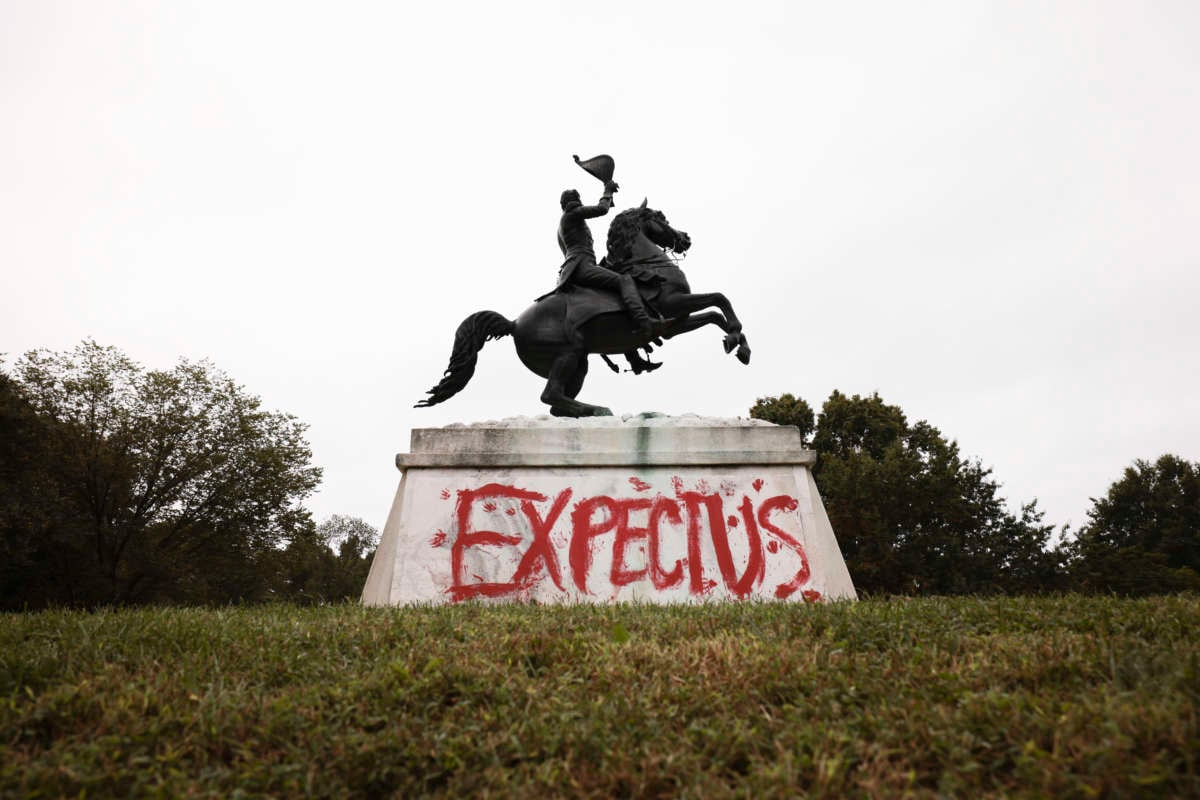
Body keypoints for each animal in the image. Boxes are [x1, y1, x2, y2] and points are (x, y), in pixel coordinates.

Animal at [417, 201, 744, 419]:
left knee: (556, 403)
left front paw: (737, 344)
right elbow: (720, 298)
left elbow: (715, 314)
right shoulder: (672, 307)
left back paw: (587, 411)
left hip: (580, 363)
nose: (685, 238)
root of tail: (514, 323)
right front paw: (737, 338)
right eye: (661, 218)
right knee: (550, 395)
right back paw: (597, 409)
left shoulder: (676, 323)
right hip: (568, 354)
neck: (649, 265)